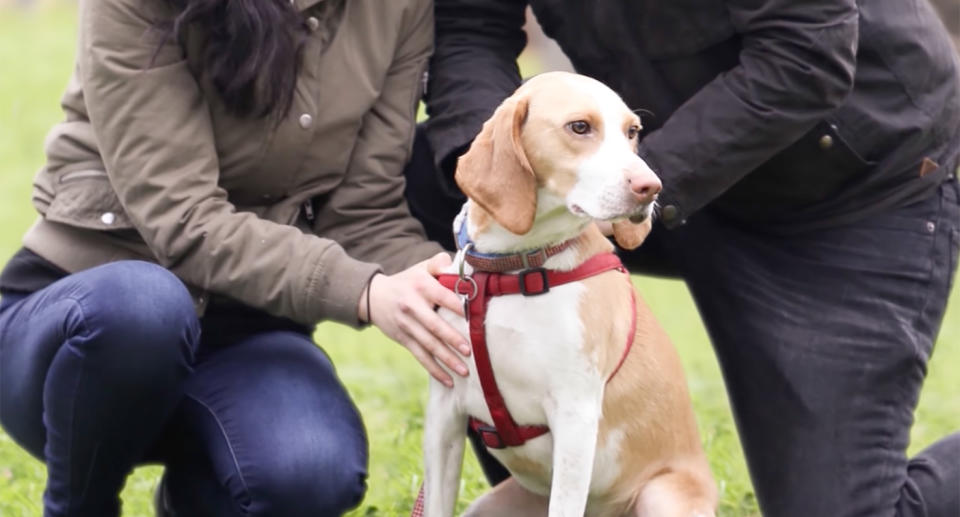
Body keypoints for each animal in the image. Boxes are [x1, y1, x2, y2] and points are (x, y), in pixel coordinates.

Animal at [424, 71, 716, 516]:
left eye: (632, 132)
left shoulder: (575, 418)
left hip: (661, 495)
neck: (512, 268)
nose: (651, 187)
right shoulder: (444, 412)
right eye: (580, 127)